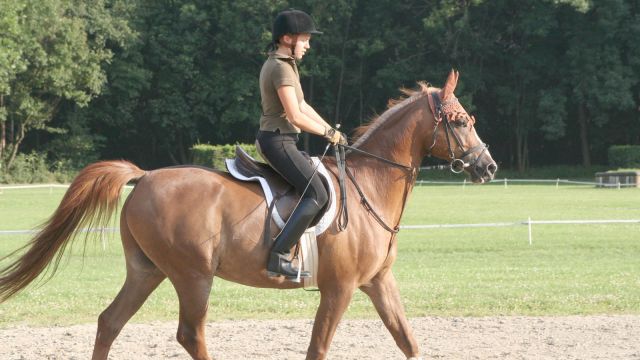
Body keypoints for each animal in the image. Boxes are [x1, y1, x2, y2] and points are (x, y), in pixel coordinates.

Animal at [0, 69, 498, 358]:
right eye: (459, 121)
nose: (488, 167)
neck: (370, 187)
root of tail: (145, 177)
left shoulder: (378, 283)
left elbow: (408, 341)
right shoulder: (338, 290)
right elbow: (318, 348)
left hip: (148, 270)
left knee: (110, 323)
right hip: (192, 275)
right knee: (190, 334)